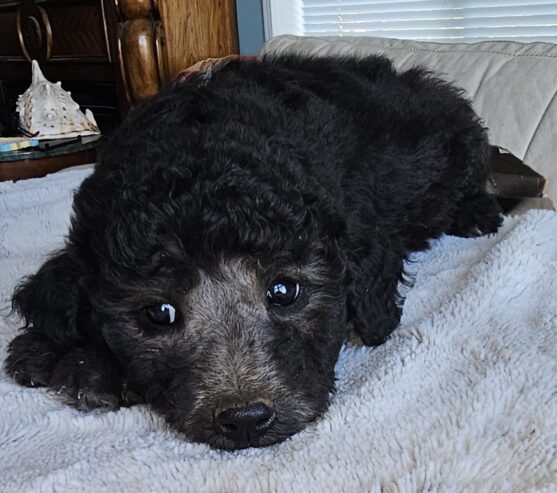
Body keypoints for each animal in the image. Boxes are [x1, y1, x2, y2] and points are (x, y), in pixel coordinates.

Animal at [4, 55, 500, 448]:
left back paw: (477, 211)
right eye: (159, 313)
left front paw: (81, 364)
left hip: (457, 140)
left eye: (284, 291)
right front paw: (64, 354)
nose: (245, 420)